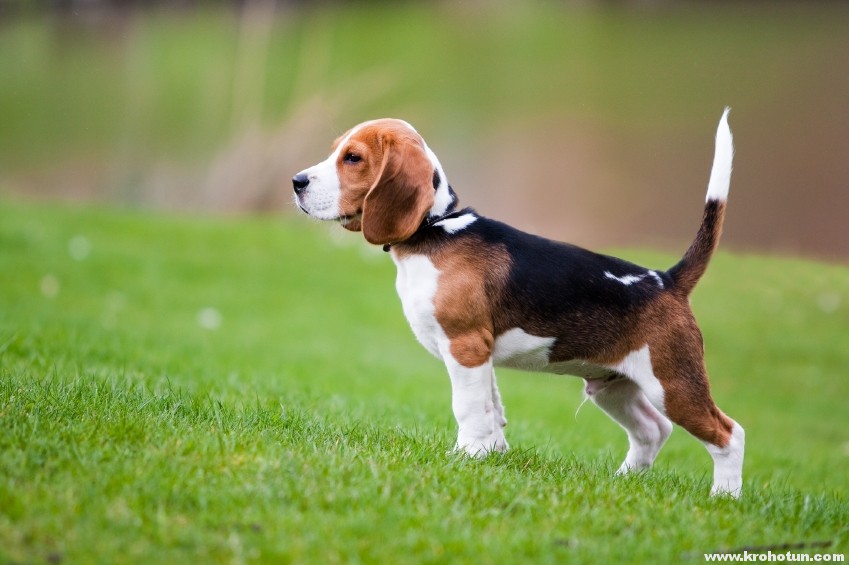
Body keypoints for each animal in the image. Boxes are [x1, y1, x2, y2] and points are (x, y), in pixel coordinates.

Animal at [292, 111, 744, 498]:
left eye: (353, 158)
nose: (296, 181)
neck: (434, 230)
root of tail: (667, 280)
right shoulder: (481, 353)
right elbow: (491, 406)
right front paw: (492, 452)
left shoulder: (466, 346)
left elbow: (468, 408)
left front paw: (468, 456)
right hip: (613, 386)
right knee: (653, 430)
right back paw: (623, 481)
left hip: (673, 383)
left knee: (729, 434)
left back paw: (725, 497)